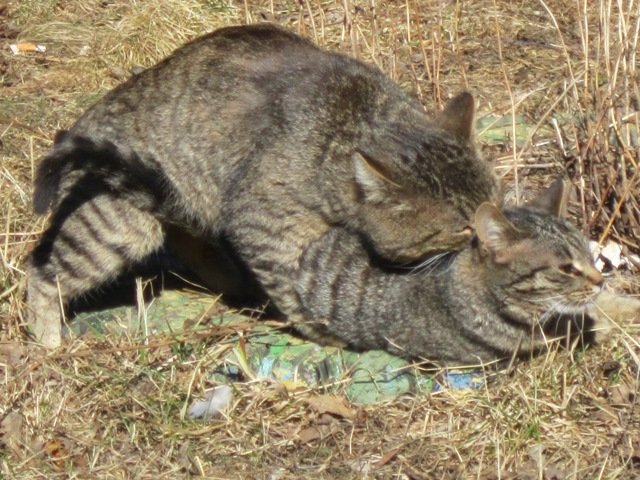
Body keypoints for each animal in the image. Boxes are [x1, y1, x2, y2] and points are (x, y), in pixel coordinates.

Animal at [28, 24, 500, 346]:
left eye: (491, 203)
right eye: (462, 226)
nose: (487, 240)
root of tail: (81, 122)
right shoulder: (263, 228)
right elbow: (292, 292)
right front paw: (323, 334)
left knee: (189, 240)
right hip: (117, 226)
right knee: (42, 273)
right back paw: (48, 342)